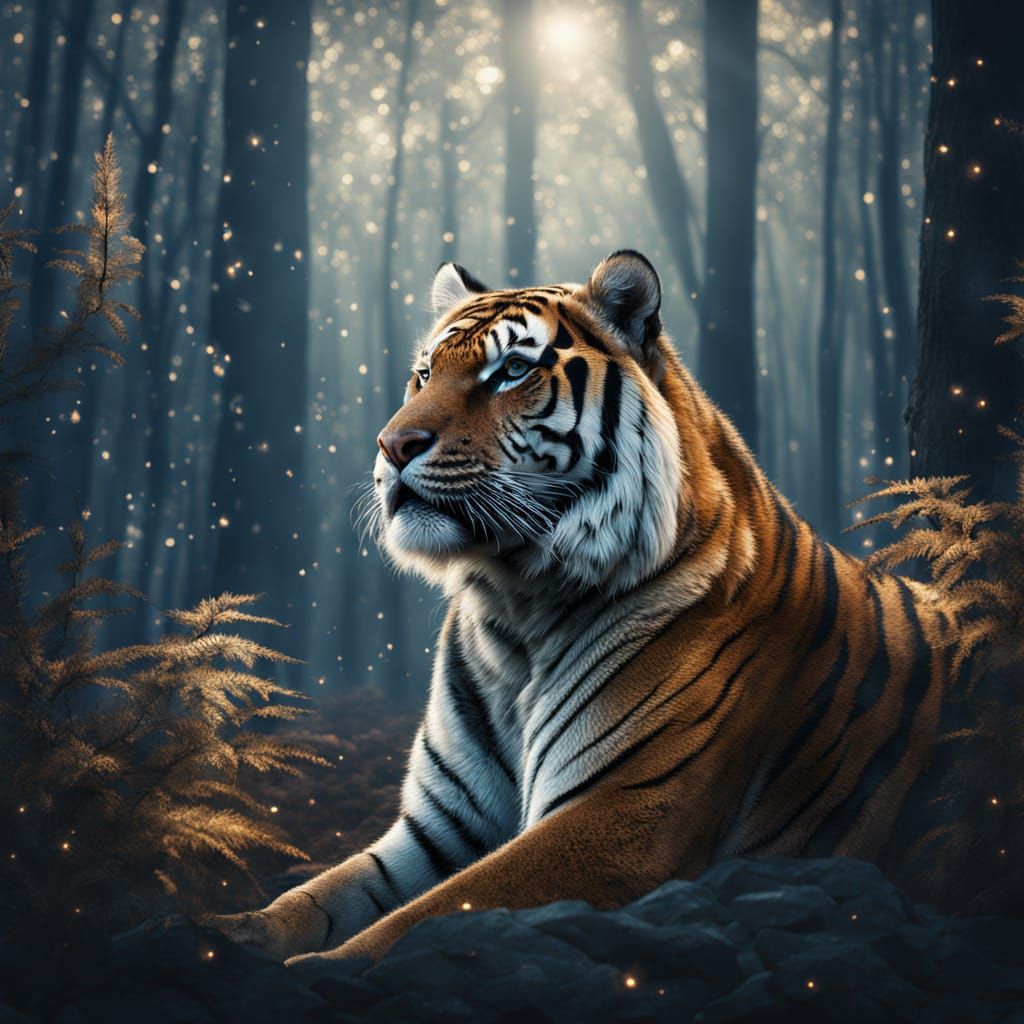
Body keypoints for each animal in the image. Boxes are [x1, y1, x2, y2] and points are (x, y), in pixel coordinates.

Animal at [215, 250, 956, 968]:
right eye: (423, 375)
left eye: (512, 371)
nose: (391, 447)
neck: (511, 611)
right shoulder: (440, 828)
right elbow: (314, 898)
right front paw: (228, 934)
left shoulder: (620, 817)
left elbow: (415, 923)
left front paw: (320, 972)